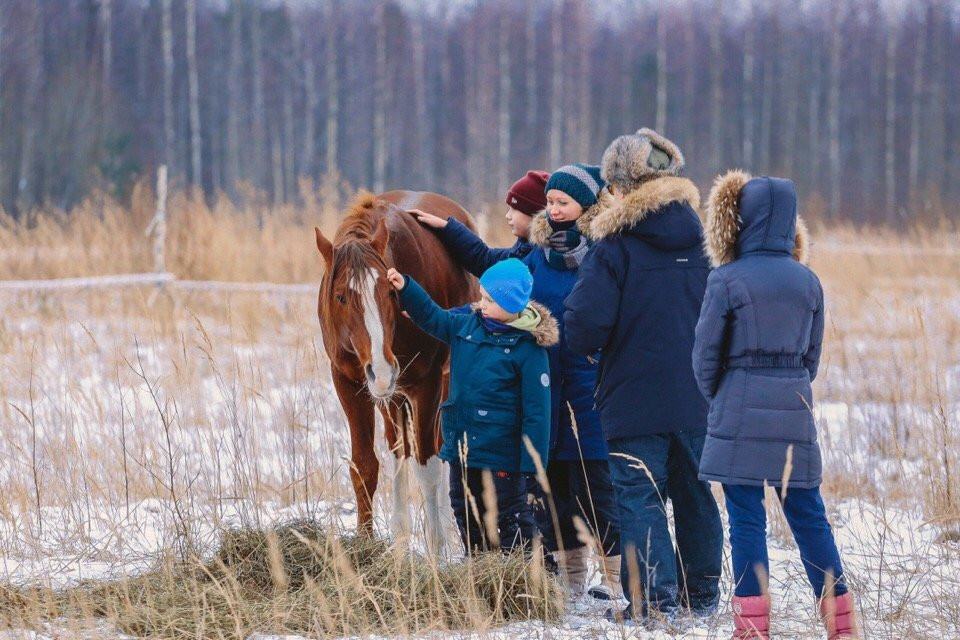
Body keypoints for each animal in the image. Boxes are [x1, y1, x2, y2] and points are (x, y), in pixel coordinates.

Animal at [316, 190, 480, 552]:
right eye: (341, 297)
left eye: (391, 292)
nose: (381, 368)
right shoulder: (348, 382)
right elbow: (365, 465)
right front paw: (366, 542)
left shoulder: (427, 384)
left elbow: (428, 469)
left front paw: (437, 550)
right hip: (391, 396)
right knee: (399, 451)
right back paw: (402, 537)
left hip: (435, 384)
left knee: (436, 450)